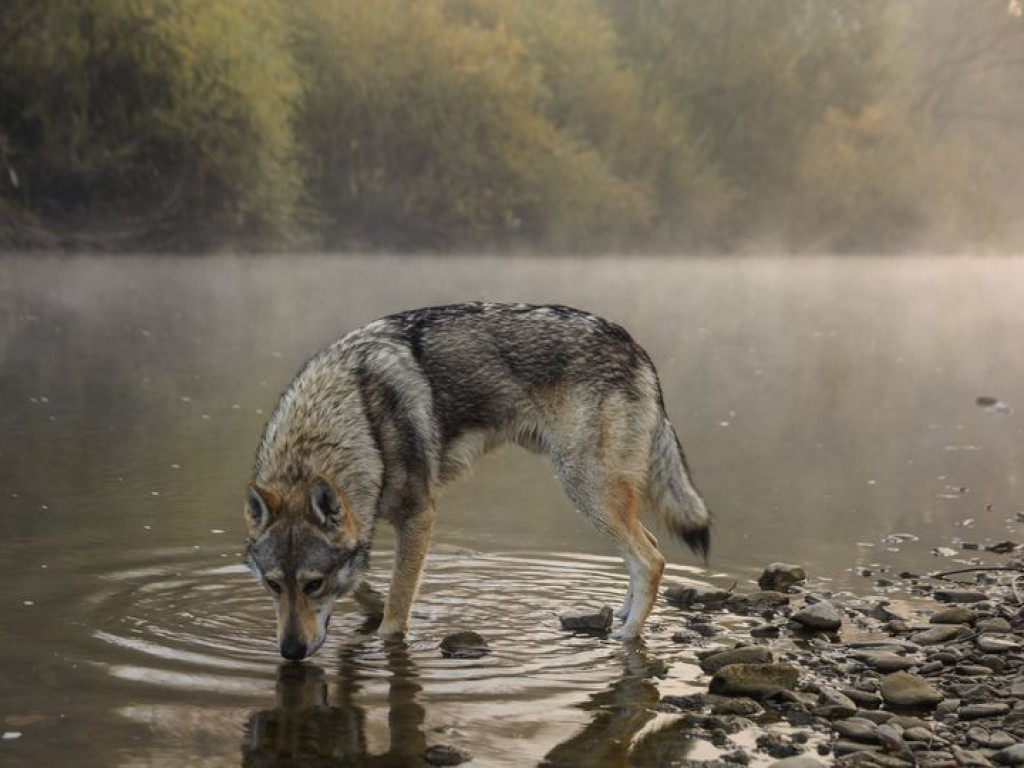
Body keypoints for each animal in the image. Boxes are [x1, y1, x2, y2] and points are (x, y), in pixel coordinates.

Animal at [242, 303, 708, 663]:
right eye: (273, 585)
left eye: (313, 584)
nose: (290, 653)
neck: (351, 415)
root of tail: (635, 347)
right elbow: (366, 586)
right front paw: (373, 601)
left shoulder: (419, 515)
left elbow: (395, 612)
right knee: (645, 549)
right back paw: (621, 616)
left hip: (585, 488)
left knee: (651, 559)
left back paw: (626, 635)